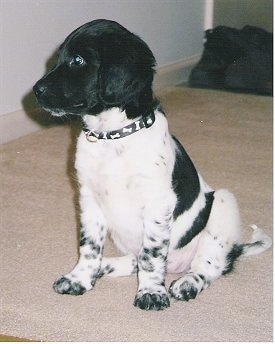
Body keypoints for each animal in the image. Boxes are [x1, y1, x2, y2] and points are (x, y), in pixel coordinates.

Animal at [33, 19, 272, 312]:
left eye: (78, 60)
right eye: (59, 58)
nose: (36, 91)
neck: (112, 137)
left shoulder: (157, 203)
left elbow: (151, 255)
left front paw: (151, 292)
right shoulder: (89, 199)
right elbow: (89, 246)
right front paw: (80, 278)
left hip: (223, 205)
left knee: (209, 266)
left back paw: (187, 282)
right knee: (133, 260)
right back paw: (105, 267)